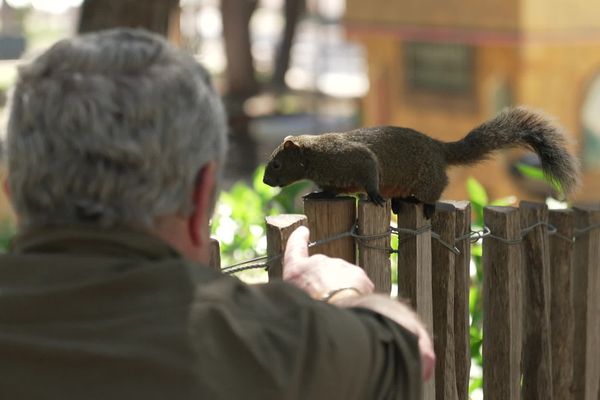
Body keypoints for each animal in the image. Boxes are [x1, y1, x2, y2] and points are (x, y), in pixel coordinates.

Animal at [262, 106, 580, 217]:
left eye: (276, 164)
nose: (265, 181)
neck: (314, 155)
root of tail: (438, 148)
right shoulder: (335, 179)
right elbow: (331, 191)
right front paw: (317, 194)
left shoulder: (355, 157)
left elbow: (370, 172)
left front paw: (373, 195)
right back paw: (401, 203)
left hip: (429, 179)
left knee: (437, 188)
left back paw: (425, 205)